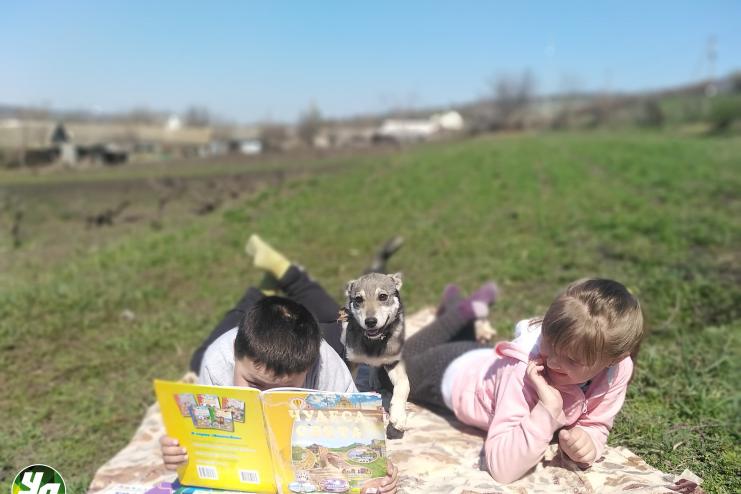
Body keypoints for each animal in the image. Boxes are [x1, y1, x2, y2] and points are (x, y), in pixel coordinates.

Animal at [338, 272, 408, 438]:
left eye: (383, 296)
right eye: (358, 299)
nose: (370, 322)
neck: (374, 342)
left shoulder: (394, 360)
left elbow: (404, 384)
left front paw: (398, 417)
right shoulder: (350, 358)